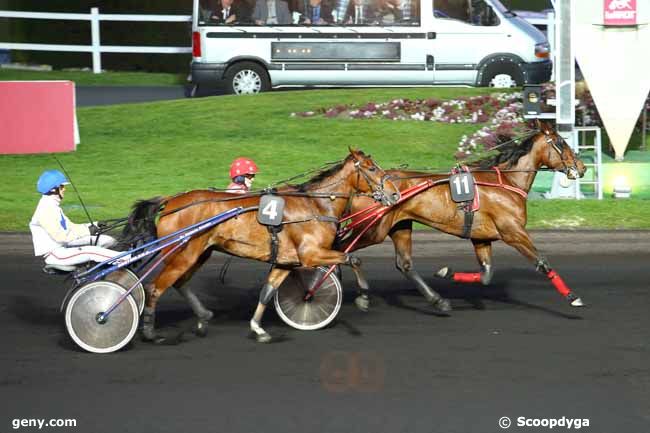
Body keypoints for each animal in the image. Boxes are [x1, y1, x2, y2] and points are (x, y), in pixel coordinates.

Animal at [120, 150, 394, 342]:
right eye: (372, 167)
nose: (392, 194)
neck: (315, 205)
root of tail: (171, 201)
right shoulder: (311, 255)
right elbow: (354, 259)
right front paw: (363, 298)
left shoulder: (286, 261)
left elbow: (267, 292)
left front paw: (258, 328)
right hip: (182, 255)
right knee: (155, 288)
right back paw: (150, 333)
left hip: (199, 254)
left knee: (179, 283)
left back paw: (202, 317)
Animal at [342, 120, 584, 310]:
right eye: (561, 142)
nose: (581, 167)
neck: (507, 182)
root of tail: (366, 187)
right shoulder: (514, 232)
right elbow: (543, 262)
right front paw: (573, 297)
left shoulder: (481, 237)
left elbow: (486, 275)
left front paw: (446, 273)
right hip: (374, 229)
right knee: (344, 249)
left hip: (399, 226)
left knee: (404, 264)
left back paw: (437, 300)